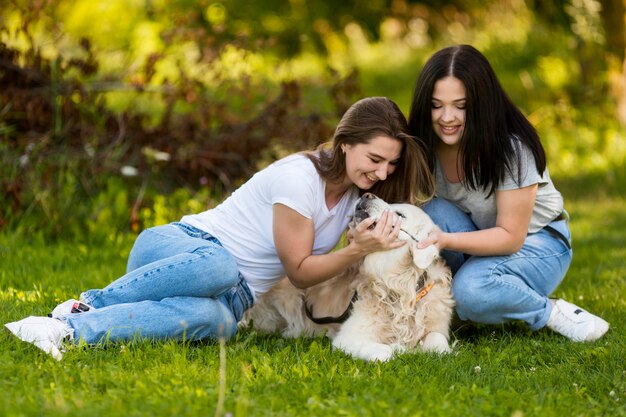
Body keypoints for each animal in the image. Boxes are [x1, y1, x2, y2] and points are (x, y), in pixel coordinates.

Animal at [240, 194, 454, 360]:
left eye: (400, 214)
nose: (366, 195)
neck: (398, 284)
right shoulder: (349, 337)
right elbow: (386, 352)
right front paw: (401, 348)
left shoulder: (436, 326)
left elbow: (438, 342)